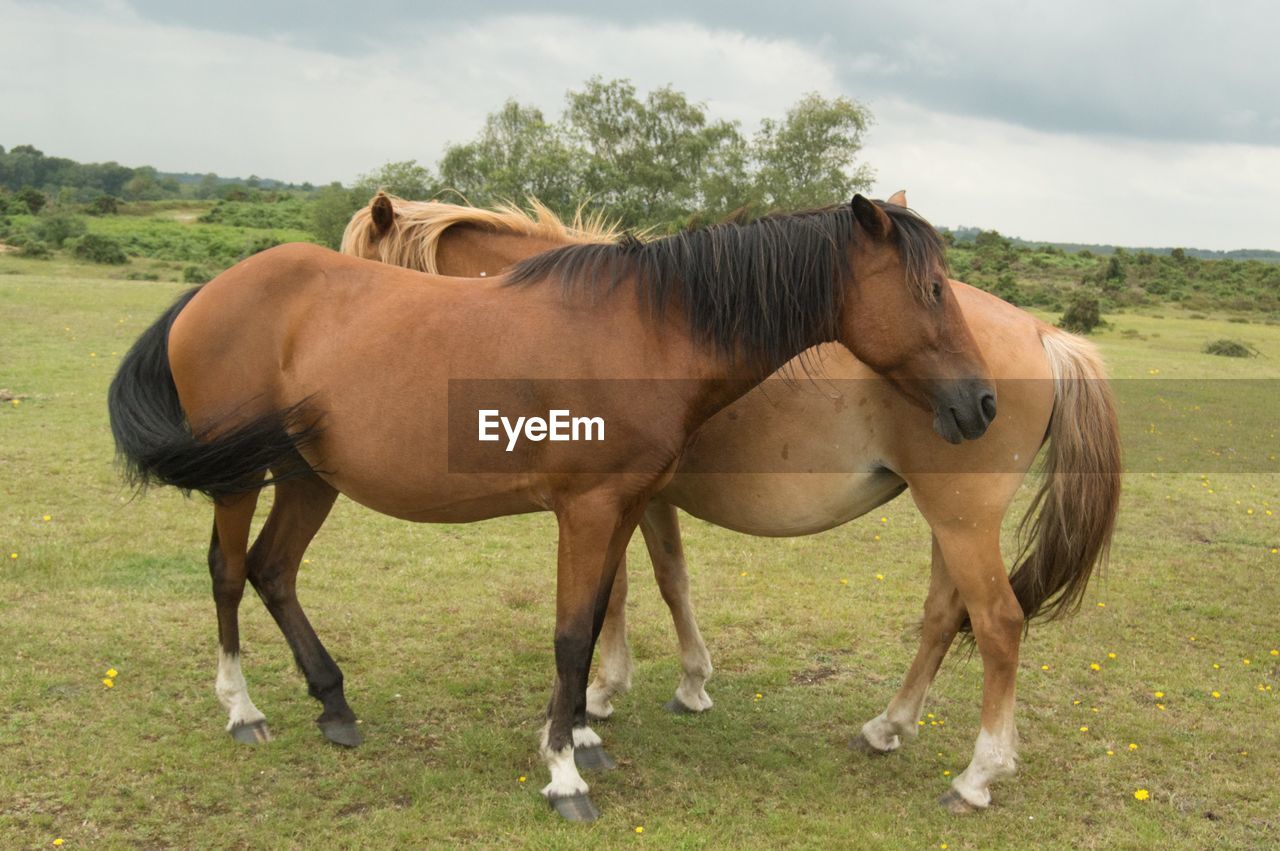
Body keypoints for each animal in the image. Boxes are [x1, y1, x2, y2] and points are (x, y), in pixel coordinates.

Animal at [107, 195, 998, 819]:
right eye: (929, 289)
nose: (982, 403)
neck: (645, 331)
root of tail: (211, 291)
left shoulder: (625, 506)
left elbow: (602, 615)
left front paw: (580, 734)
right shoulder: (589, 509)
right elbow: (573, 636)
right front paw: (565, 772)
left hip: (308, 477)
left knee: (274, 570)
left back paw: (334, 704)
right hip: (239, 479)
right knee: (229, 572)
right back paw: (243, 709)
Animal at [340, 190, 1121, 808]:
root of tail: (1044, 334)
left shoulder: (618, 497)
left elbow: (623, 592)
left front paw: (602, 695)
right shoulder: (640, 498)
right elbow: (664, 582)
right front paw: (674, 685)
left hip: (962, 518)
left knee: (997, 625)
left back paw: (977, 776)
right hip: (947, 520)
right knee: (941, 617)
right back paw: (887, 727)